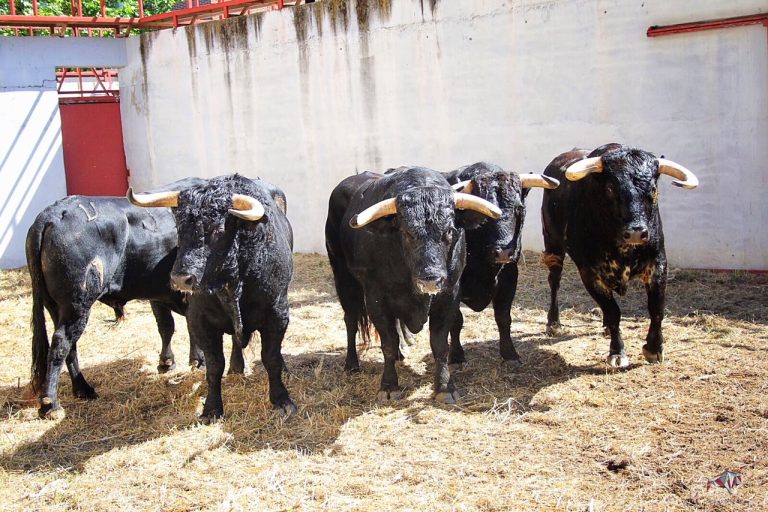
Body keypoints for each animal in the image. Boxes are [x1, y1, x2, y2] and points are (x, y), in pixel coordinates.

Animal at [27, 177, 218, 420]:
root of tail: (52, 214)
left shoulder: (159, 294)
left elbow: (167, 327)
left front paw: (169, 362)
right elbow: (190, 327)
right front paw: (197, 361)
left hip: (56, 307)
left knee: (69, 346)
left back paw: (83, 389)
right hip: (77, 305)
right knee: (61, 344)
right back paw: (51, 404)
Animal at [128, 174, 296, 420]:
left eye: (218, 230)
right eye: (179, 228)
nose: (181, 279)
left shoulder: (277, 314)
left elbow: (271, 358)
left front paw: (282, 400)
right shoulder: (201, 321)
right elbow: (215, 365)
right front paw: (211, 408)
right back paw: (236, 367)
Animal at [325, 167, 502, 404]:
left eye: (449, 231)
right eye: (407, 233)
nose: (431, 279)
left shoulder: (449, 295)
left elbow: (439, 344)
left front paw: (444, 387)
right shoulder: (376, 298)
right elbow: (387, 343)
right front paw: (389, 386)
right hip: (344, 278)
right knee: (351, 320)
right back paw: (352, 363)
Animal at [540, 143, 698, 367]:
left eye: (653, 189)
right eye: (611, 188)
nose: (637, 232)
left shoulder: (658, 264)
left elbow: (656, 308)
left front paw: (654, 348)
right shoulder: (590, 273)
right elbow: (613, 311)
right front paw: (617, 352)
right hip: (553, 244)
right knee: (554, 281)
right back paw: (553, 322)